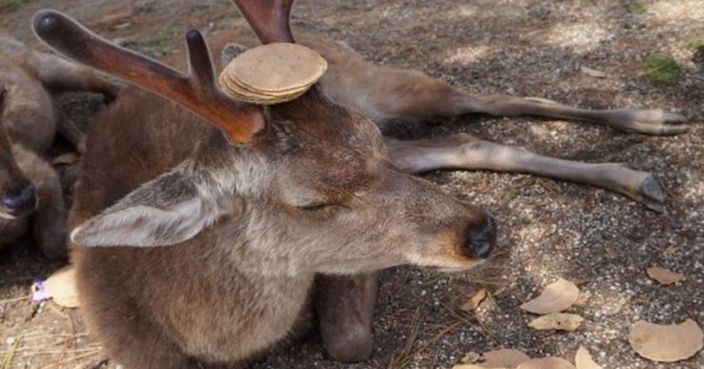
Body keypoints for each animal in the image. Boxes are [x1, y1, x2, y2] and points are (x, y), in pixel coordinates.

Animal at [0, 35, 117, 258]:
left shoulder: (40, 171)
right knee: (57, 111)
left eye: (4, 136)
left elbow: (53, 244)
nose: (23, 201)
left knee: (98, 76)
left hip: (50, 65)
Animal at [33, 0, 688, 366]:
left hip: (380, 86)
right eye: (310, 202)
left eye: (366, 146)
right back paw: (635, 168)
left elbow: (349, 340)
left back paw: (652, 123)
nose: (480, 232)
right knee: (468, 139)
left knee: (479, 98)